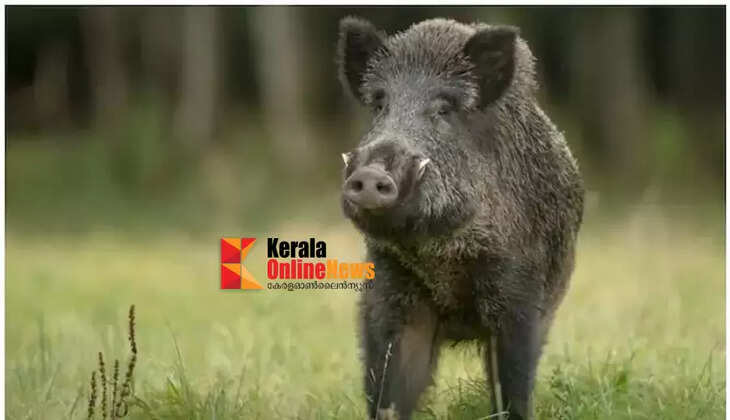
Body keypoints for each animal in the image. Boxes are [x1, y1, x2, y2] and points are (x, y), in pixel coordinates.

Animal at [337, 17, 584, 420]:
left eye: (443, 109)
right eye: (380, 104)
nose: (372, 173)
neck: (440, 253)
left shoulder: (518, 292)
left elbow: (512, 383)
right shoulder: (390, 286)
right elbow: (390, 384)